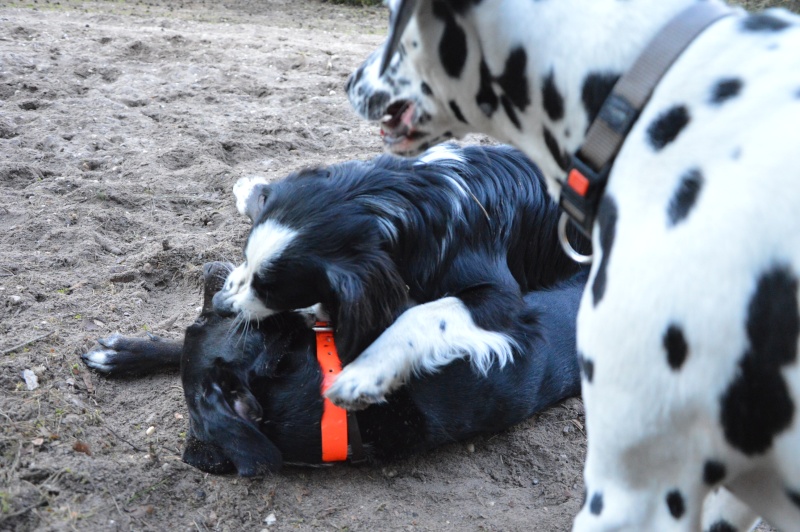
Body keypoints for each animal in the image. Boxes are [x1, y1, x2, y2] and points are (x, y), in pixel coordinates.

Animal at [212, 143, 588, 410]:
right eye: (244, 257)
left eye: (271, 289)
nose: (218, 305)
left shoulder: (502, 295)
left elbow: (418, 315)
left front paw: (363, 374)